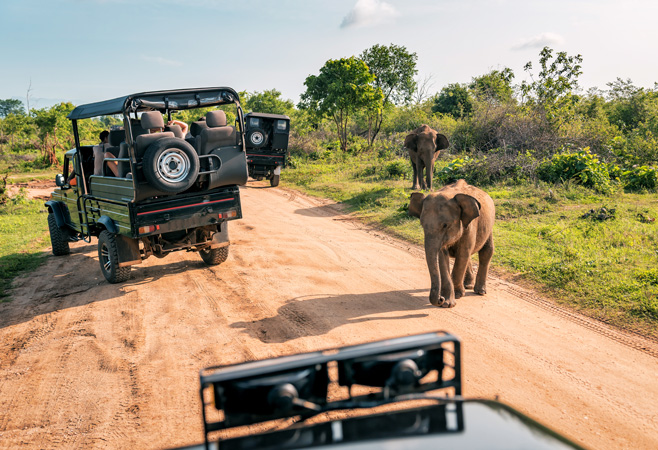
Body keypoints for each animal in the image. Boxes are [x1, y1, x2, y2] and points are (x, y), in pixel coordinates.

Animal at [408, 179, 495, 308]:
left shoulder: (470, 226)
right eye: (422, 225)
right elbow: (442, 257)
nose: (440, 298)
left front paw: (457, 295)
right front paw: (448, 302)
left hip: (489, 227)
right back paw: (468, 285)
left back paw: (480, 291)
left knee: (486, 251)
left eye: (445, 225)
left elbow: (463, 254)